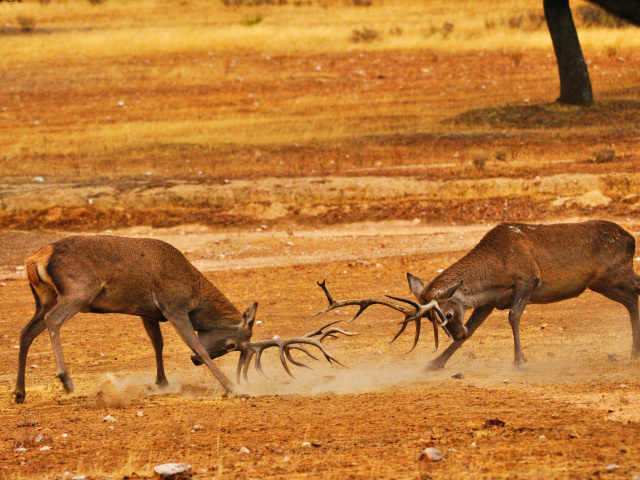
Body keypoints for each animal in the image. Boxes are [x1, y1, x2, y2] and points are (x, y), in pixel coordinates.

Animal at [13, 234, 356, 404]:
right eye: (232, 345)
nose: (189, 363)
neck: (193, 292)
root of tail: (35, 259)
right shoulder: (173, 305)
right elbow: (196, 345)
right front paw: (232, 387)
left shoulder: (147, 310)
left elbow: (158, 344)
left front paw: (162, 383)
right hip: (77, 291)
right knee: (54, 321)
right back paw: (65, 379)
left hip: (43, 297)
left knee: (26, 332)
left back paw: (19, 392)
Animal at [318, 219, 640, 370]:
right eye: (435, 322)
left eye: (447, 314)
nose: (455, 334)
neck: (496, 270)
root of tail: (631, 239)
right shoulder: (491, 301)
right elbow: (474, 329)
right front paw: (434, 364)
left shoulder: (528, 279)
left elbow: (514, 317)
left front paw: (520, 362)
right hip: (603, 283)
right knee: (632, 300)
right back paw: (634, 351)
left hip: (615, 273)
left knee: (636, 292)